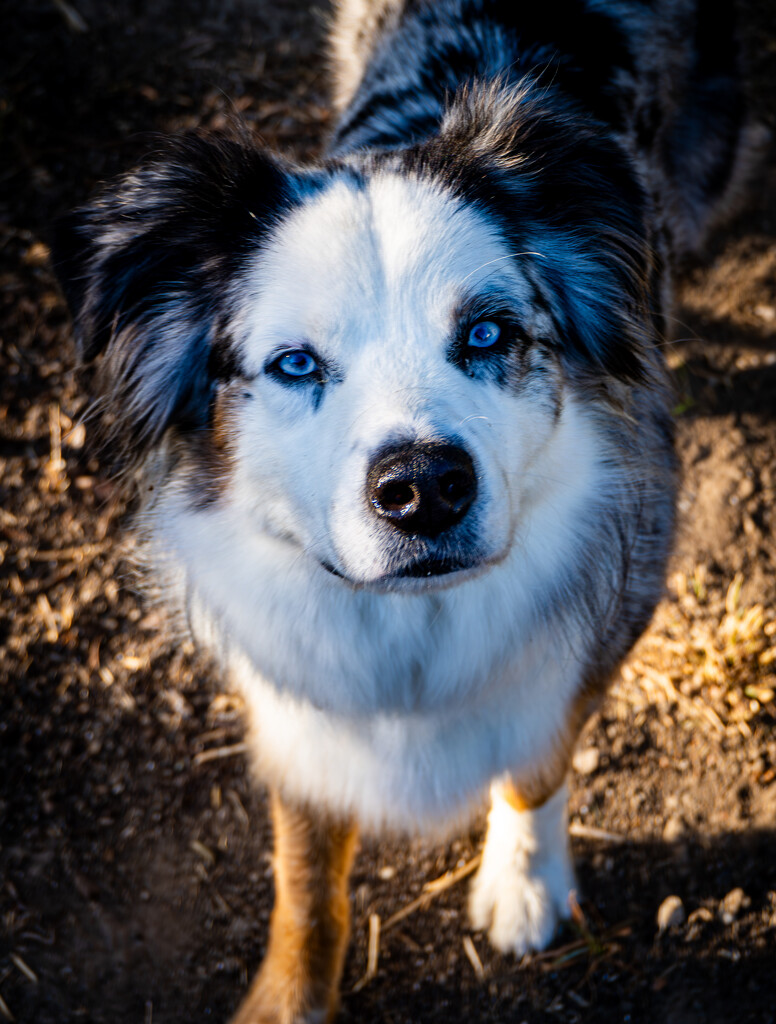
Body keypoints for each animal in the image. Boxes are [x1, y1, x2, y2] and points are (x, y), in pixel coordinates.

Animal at [54, 0, 761, 1019]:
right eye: (295, 363)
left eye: (487, 333)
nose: (424, 488)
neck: (413, 627)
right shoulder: (294, 686)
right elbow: (305, 869)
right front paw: (290, 995)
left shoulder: (611, 614)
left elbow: (538, 761)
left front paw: (524, 885)